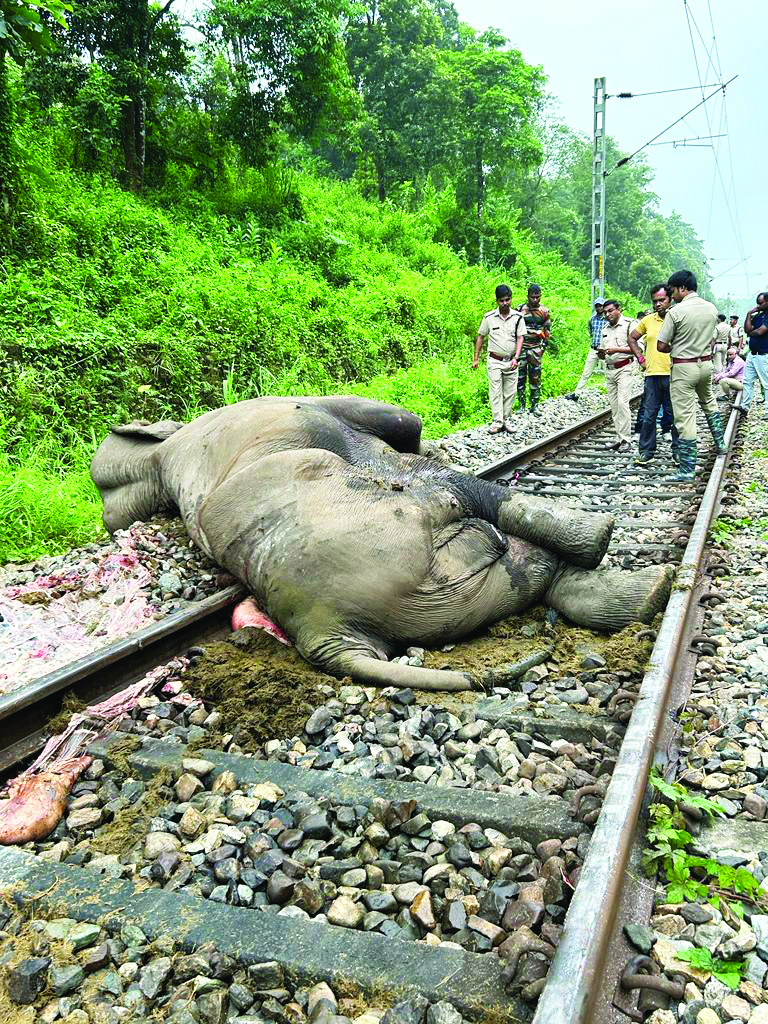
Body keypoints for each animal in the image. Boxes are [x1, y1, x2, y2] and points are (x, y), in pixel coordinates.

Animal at [90, 396, 673, 692]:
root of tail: (322, 631)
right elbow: (404, 423)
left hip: (444, 595)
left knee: (527, 574)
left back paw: (645, 594)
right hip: (411, 539)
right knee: (463, 502)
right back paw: (603, 541)